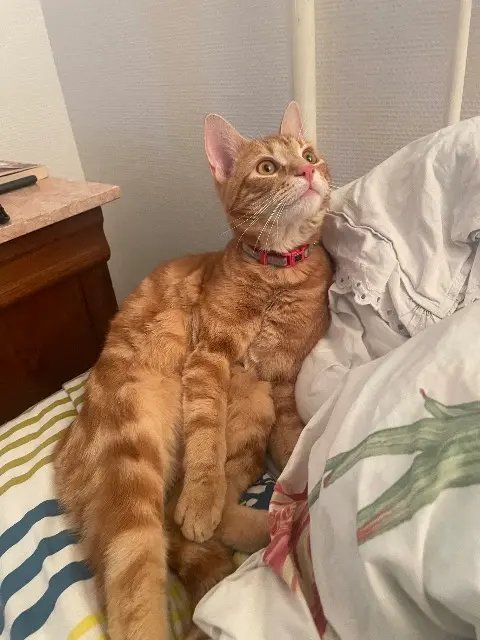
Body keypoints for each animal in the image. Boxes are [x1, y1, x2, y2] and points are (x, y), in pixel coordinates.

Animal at [54, 101, 332, 640]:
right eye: (268, 167)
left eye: (309, 155)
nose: (308, 171)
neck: (277, 275)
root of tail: (65, 455)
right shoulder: (209, 357)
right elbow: (206, 439)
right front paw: (203, 498)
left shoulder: (282, 386)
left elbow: (291, 449)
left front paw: (292, 491)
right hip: (132, 461)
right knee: (141, 577)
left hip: (250, 418)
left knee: (192, 518)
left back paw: (282, 534)